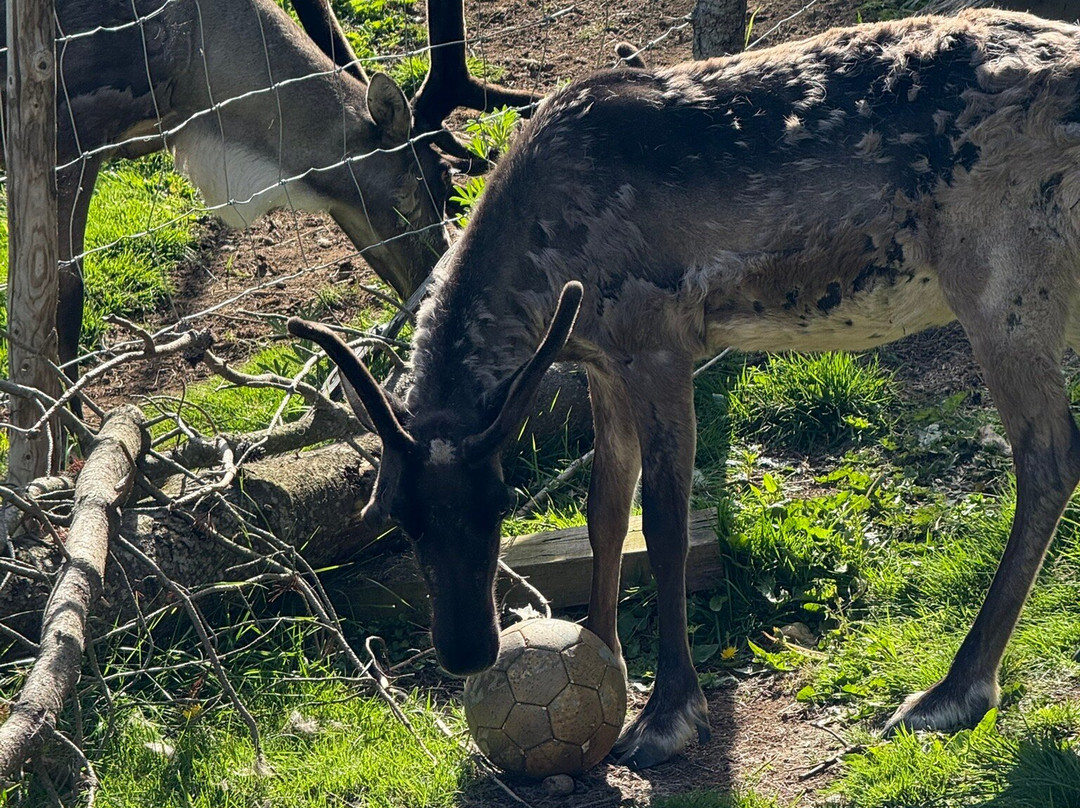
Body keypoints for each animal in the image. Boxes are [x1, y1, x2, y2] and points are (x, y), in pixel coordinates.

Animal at [289, 7, 1080, 768]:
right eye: (392, 512)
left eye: (502, 499)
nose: (466, 652)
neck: (545, 268)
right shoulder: (601, 363)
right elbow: (604, 512)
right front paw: (604, 653)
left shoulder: (658, 343)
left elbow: (665, 520)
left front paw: (668, 714)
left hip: (1002, 279)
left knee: (1049, 455)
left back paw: (954, 692)